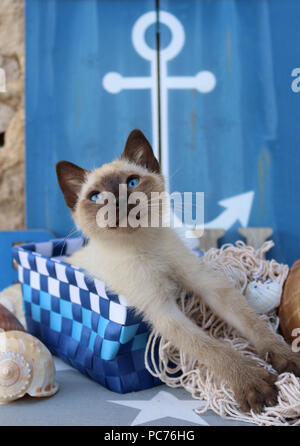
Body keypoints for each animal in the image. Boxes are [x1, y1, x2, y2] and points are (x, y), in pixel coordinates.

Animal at [56, 130, 300, 414]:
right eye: (96, 197)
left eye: (132, 182)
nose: (118, 200)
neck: (145, 246)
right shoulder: (163, 311)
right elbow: (213, 348)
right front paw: (254, 384)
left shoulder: (208, 285)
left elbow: (253, 324)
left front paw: (287, 359)